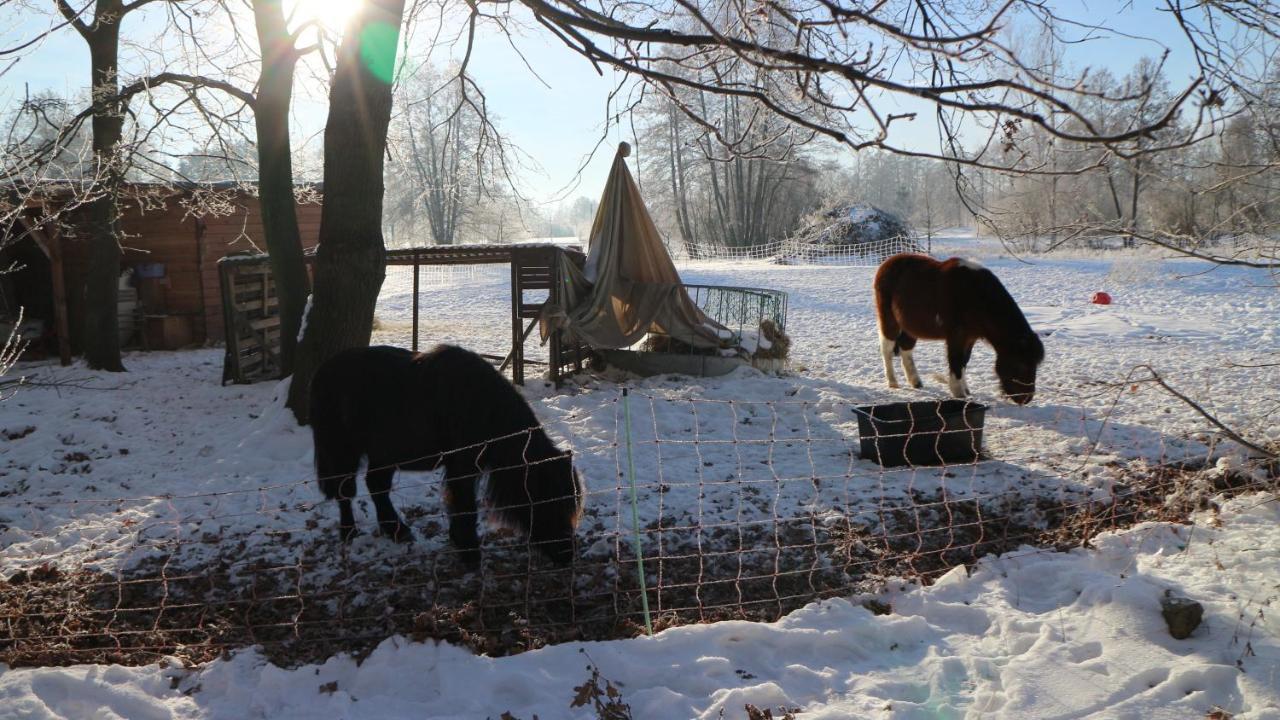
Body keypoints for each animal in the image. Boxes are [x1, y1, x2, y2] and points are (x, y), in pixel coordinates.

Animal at [309, 345, 586, 563]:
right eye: (548, 497)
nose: (567, 554)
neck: (483, 408)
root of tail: (322, 373)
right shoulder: (462, 466)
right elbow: (464, 505)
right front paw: (470, 552)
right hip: (342, 452)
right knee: (345, 492)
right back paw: (349, 533)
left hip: (383, 455)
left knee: (377, 488)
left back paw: (398, 531)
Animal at [875, 252, 1044, 399]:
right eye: (1021, 364)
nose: (1025, 399)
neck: (976, 296)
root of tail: (887, 263)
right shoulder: (956, 335)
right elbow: (956, 360)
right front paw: (958, 393)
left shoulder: (970, 337)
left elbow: (964, 361)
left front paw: (966, 389)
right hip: (889, 321)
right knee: (887, 349)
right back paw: (892, 382)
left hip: (910, 327)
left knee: (906, 348)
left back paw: (915, 381)